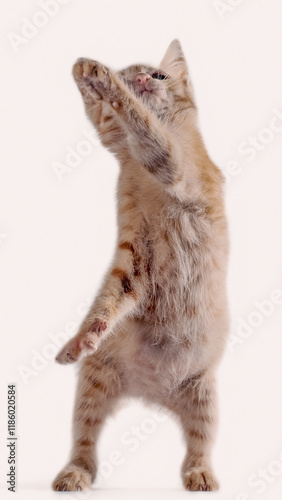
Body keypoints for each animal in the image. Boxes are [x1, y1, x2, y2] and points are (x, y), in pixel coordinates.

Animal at [52, 39, 229, 492]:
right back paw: (74, 473)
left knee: (200, 444)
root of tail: (154, 393)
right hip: (94, 381)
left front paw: (101, 78)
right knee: (85, 442)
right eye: (138, 75)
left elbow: (141, 120)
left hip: (204, 393)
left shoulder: (176, 166)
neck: (138, 167)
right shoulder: (134, 262)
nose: (146, 80)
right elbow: (110, 298)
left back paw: (201, 474)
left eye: (160, 75)